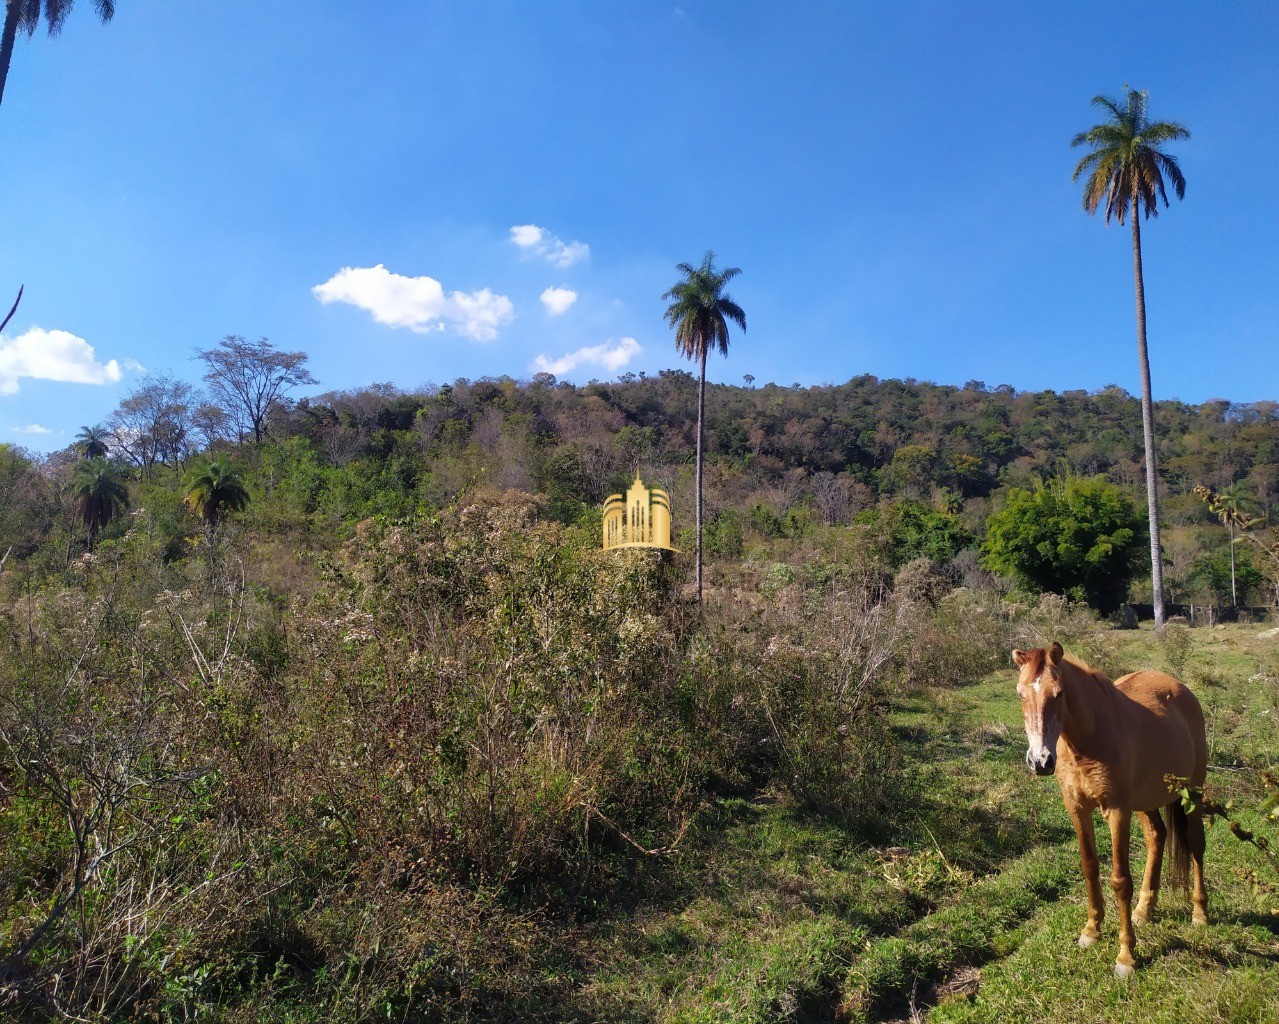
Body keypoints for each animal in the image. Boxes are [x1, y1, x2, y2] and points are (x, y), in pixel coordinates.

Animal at [1007, 639, 1207, 976]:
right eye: (1021, 694)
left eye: (1059, 693)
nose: (1040, 761)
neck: (1086, 741)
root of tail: (1181, 689)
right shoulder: (1077, 808)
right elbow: (1089, 867)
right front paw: (1091, 930)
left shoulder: (1116, 811)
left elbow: (1120, 880)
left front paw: (1126, 956)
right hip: (1145, 801)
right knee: (1157, 836)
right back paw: (1144, 909)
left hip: (1192, 793)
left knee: (1195, 844)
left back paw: (1200, 912)